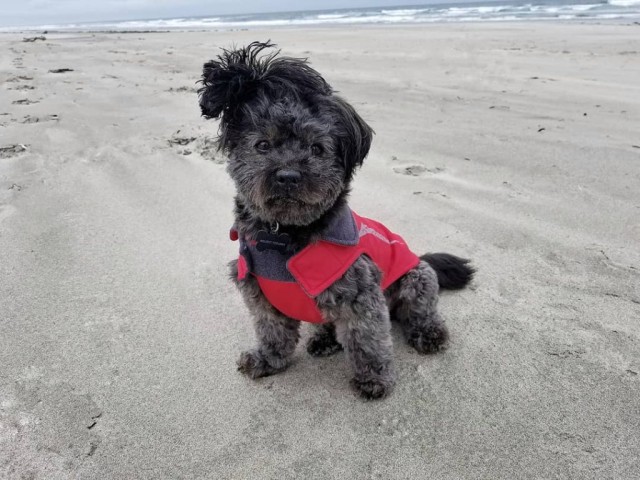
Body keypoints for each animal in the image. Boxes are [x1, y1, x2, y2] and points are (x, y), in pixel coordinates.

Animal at [200, 42, 476, 402]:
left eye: (317, 149)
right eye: (262, 144)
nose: (288, 176)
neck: (285, 235)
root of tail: (420, 257)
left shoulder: (361, 297)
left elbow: (367, 341)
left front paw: (373, 379)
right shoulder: (259, 297)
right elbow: (273, 332)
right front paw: (268, 361)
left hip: (417, 278)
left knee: (420, 311)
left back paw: (429, 333)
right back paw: (324, 340)